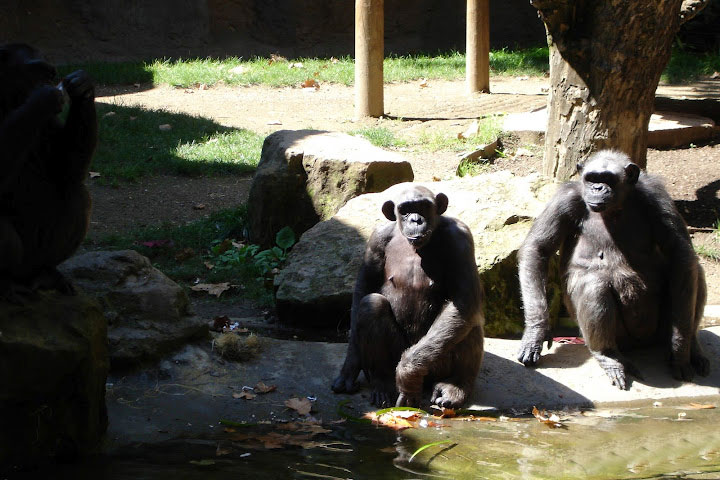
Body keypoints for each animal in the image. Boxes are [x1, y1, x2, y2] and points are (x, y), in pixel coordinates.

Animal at [0, 44, 97, 296]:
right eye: (35, 71)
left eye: (50, 74)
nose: (48, 81)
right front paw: (42, 99)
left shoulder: (49, 123)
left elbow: (66, 168)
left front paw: (83, 86)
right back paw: (5, 284)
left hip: (36, 259)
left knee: (78, 194)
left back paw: (47, 274)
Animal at [332, 186, 484, 406]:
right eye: (405, 209)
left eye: (423, 206)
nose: (415, 219)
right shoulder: (376, 240)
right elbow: (364, 288)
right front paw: (350, 366)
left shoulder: (460, 237)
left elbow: (463, 299)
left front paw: (408, 374)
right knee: (371, 305)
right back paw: (383, 383)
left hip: (436, 365)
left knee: (465, 319)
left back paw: (456, 386)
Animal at [516, 150, 708, 390]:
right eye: (591, 178)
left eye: (607, 179)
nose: (598, 188)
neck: (616, 206)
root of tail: (640, 345)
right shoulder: (564, 199)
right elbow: (538, 249)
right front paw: (536, 333)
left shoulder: (658, 198)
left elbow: (680, 254)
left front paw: (680, 349)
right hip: (620, 338)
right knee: (594, 287)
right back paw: (609, 357)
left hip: (659, 330)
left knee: (693, 270)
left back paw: (693, 346)